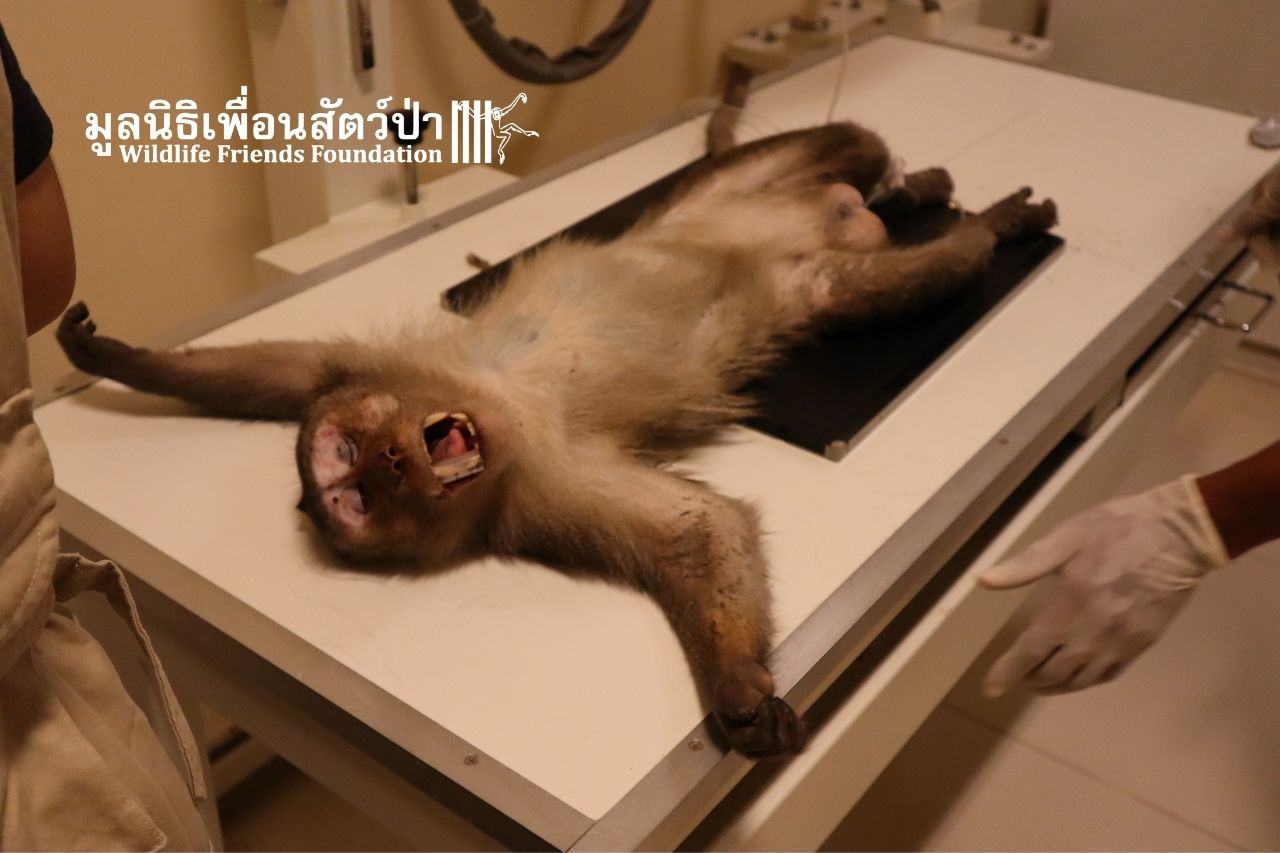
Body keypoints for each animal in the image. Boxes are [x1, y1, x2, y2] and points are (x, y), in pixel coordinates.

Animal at [57, 123, 1057, 758]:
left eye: (352, 457)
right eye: (360, 498)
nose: (389, 457)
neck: (497, 409)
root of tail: (831, 211)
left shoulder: (387, 370)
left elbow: (286, 368)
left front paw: (112, 356)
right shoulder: (538, 490)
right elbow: (694, 527)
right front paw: (738, 688)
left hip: (745, 184)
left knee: (852, 141)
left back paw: (932, 193)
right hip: (814, 281)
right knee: (903, 266)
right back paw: (963, 220)